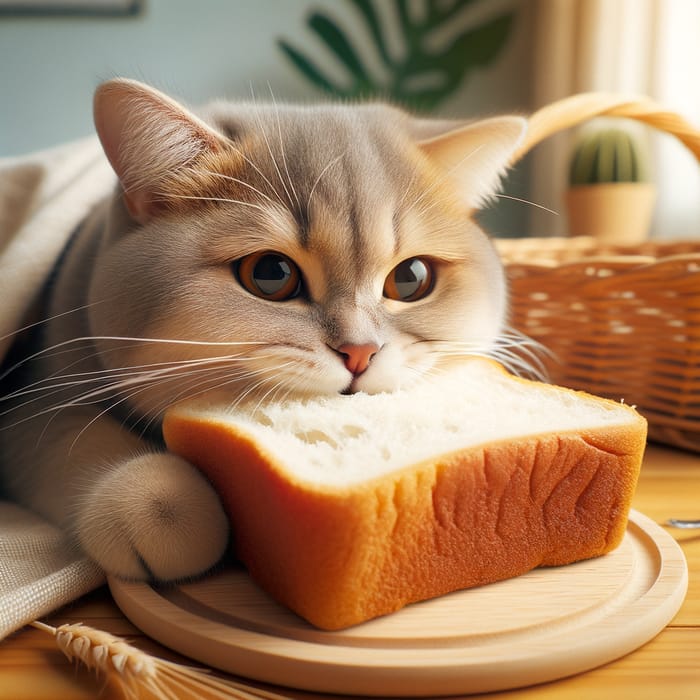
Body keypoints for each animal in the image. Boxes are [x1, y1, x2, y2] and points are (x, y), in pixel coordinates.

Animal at [0, 78, 524, 580]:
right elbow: (75, 439)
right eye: (271, 273)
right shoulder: (33, 404)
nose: (360, 352)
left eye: (411, 278)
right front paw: (159, 503)